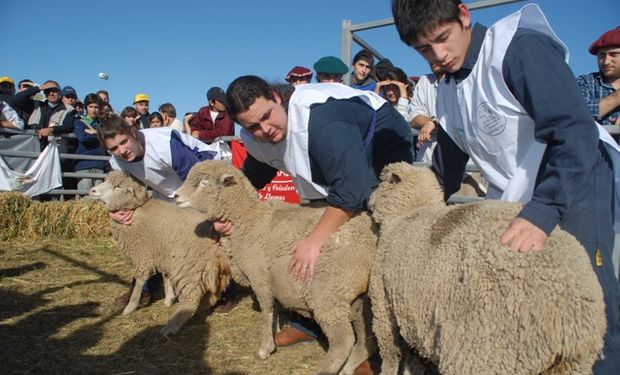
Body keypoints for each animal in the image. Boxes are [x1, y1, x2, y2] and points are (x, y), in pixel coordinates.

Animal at [88, 172, 231, 336]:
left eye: (118, 186)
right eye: (105, 180)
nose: (92, 191)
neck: (137, 211)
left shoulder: (143, 253)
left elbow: (140, 280)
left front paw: (130, 307)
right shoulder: (164, 251)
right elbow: (166, 275)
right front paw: (169, 299)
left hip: (190, 267)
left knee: (191, 299)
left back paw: (171, 326)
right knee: (214, 294)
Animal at [174, 161, 378, 375]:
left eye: (203, 182)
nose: (176, 196)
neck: (248, 218)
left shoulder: (259, 276)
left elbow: (267, 308)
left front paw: (266, 347)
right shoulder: (273, 279)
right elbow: (276, 308)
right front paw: (276, 331)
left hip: (327, 293)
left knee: (343, 341)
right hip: (363, 298)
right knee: (367, 339)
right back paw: (348, 368)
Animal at [368, 163, 604, 375]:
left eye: (382, 182)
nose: (368, 202)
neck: (409, 211)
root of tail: (566, 319)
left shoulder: (383, 302)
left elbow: (390, 355)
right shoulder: (413, 316)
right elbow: (415, 359)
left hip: (481, 355)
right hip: (574, 366)